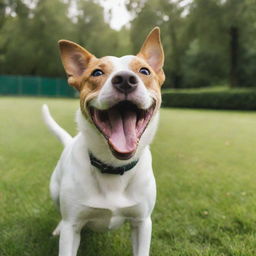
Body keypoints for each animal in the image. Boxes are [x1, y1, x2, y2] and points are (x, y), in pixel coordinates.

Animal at [42, 27, 164, 256]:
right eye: (97, 73)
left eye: (144, 71)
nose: (125, 79)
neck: (113, 167)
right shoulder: (72, 226)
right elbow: (68, 231)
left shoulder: (142, 223)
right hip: (54, 191)